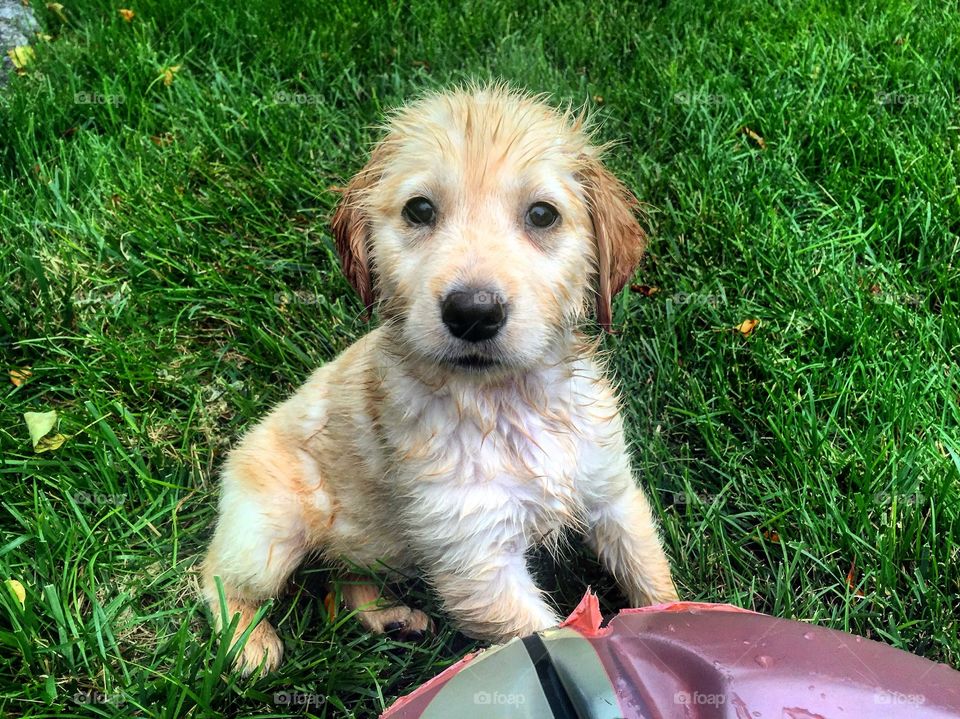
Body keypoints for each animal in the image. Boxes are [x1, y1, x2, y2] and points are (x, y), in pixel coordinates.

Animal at [200, 84, 680, 676]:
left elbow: (650, 573)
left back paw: (389, 617)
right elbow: (547, 638)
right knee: (216, 574)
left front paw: (684, 625)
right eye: (420, 210)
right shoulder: (475, 558)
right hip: (269, 530)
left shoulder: (611, 493)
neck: (507, 400)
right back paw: (248, 643)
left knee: (345, 577)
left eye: (542, 215)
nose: (472, 312)